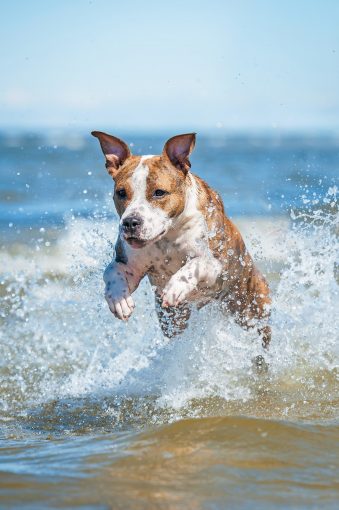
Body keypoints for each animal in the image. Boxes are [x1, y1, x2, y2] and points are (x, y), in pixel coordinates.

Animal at [92, 131, 270, 348]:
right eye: (121, 192)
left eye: (159, 192)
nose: (131, 222)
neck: (167, 236)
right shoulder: (129, 264)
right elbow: (111, 271)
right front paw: (119, 300)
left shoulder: (215, 264)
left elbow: (194, 264)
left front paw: (175, 286)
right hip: (173, 320)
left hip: (251, 309)